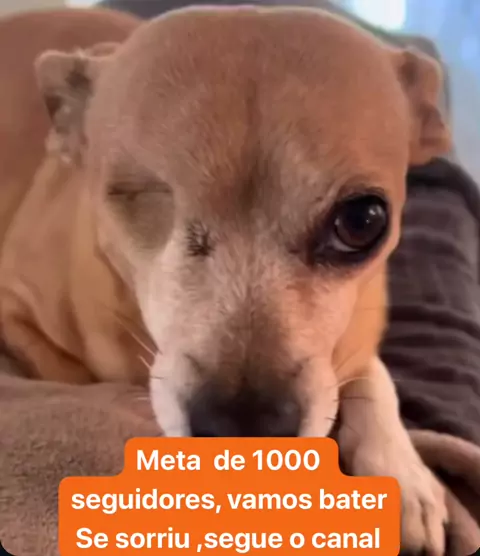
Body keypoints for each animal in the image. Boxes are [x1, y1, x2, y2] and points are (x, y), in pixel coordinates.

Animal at [0, 6, 451, 554]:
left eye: (364, 220)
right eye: (136, 195)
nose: (245, 429)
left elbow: (369, 372)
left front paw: (401, 472)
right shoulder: (17, 313)